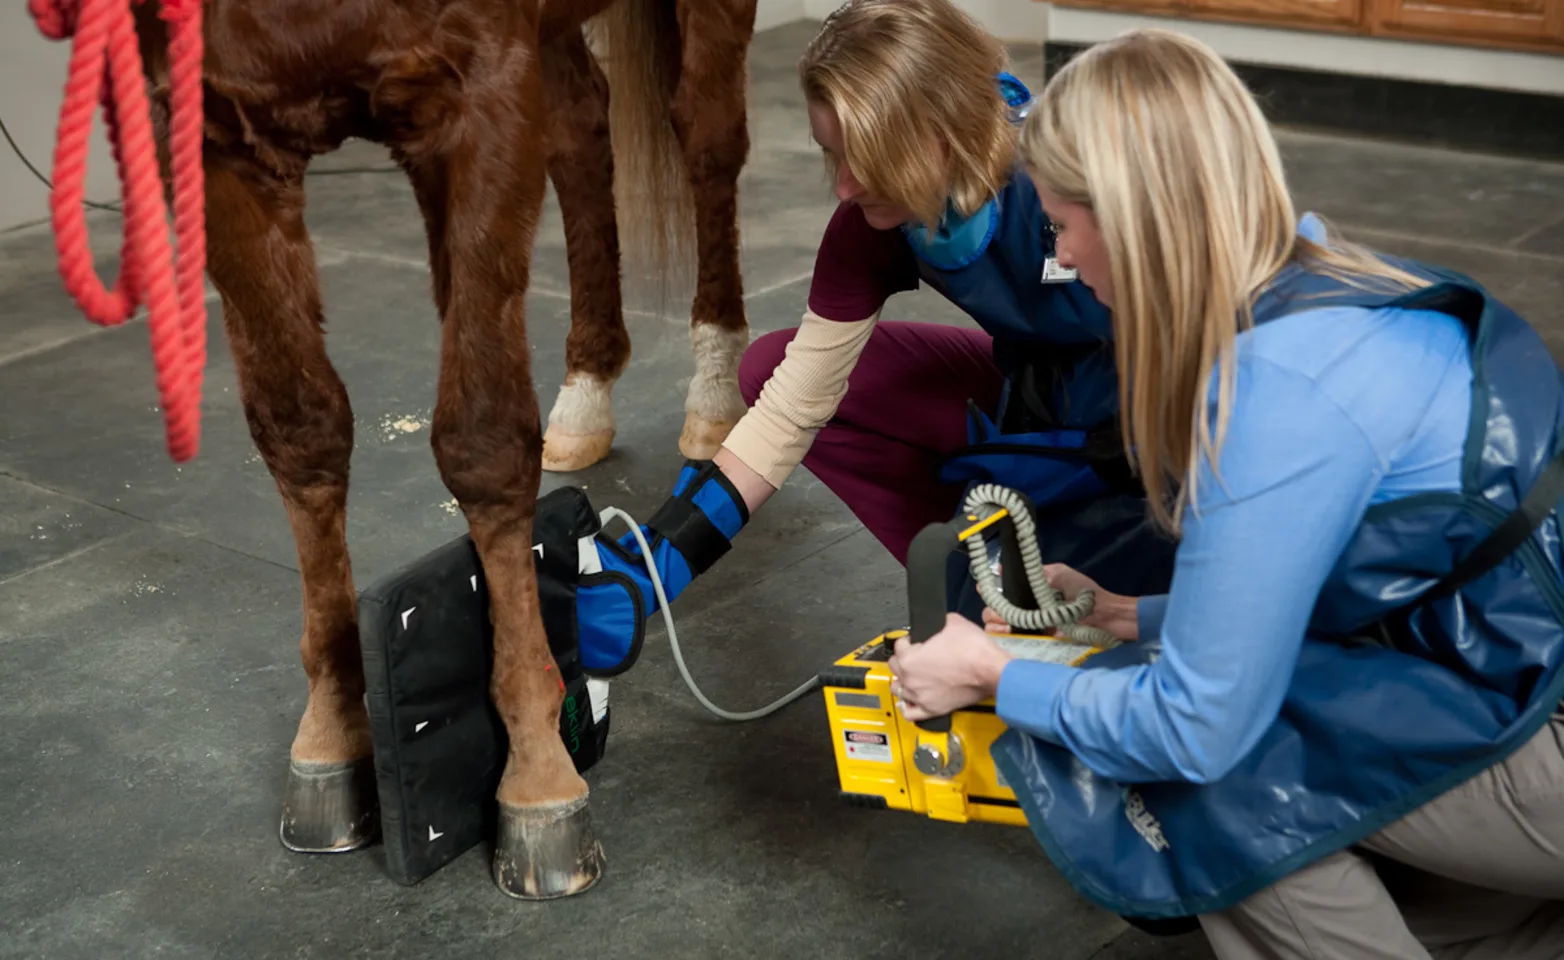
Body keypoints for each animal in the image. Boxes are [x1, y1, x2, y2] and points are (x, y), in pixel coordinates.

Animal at [126, 0, 750, 900]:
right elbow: (299, 423)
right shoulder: (220, 136)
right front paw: (335, 726)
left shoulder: (477, 94)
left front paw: (536, 775)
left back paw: (715, 388)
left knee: (706, 131)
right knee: (581, 131)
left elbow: (481, 438)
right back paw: (587, 386)